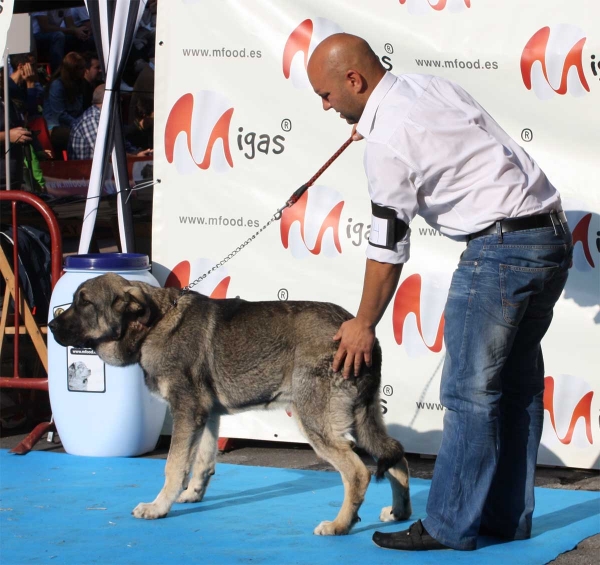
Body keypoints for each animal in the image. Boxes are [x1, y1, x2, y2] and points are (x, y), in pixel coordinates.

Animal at [49, 272, 410, 532]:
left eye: (84, 303)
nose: (50, 324)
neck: (154, 323)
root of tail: (365, 338)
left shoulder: (186, 411)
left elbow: (173, 466)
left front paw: (159, 506)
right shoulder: (206, 415)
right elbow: (202, 462)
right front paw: (192, 494)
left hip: (315, 423)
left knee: (358, 473)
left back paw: (339, 526)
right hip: (362, 420)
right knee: (396, 458)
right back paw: (399, 513)